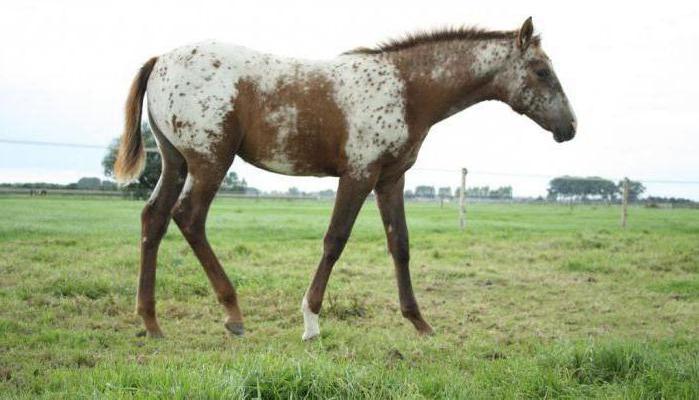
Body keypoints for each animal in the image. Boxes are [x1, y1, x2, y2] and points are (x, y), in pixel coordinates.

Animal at [113, 18, 576, 340]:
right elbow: (335, 240)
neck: (407, 88)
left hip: (176, 162)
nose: (569, 128)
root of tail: (161, 59)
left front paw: (420, 322)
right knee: (188, 218)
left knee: (153, 218)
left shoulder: (391, 179)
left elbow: (400, 245)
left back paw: (151, 322)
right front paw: (311, 322)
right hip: (210, 161)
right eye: (540, 71)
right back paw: (233, 314)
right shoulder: (359, 173)